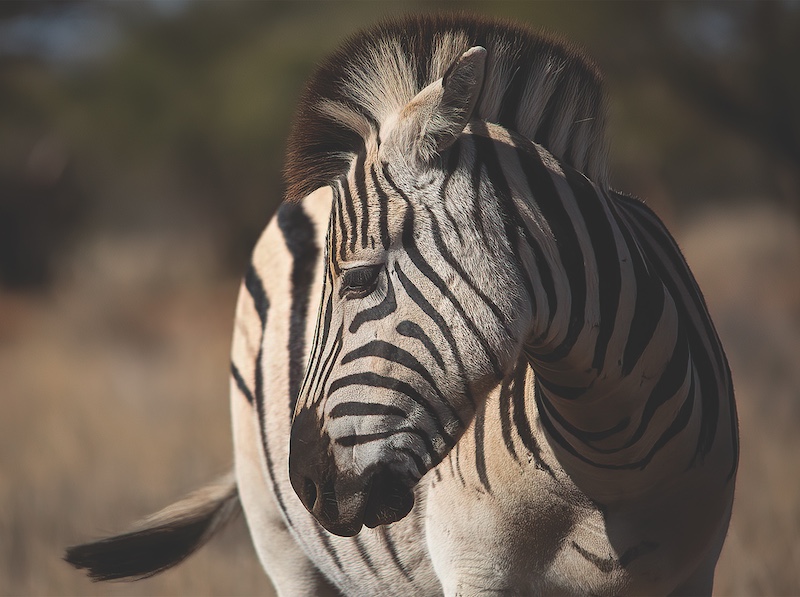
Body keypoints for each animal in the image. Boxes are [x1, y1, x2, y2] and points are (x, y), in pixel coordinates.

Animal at [65, 14, 739, 596]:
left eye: (360, 280)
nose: (305, 481)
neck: (610, 461)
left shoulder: (694, 572)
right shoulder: (475, 570)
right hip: (278, 536)